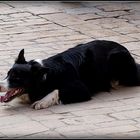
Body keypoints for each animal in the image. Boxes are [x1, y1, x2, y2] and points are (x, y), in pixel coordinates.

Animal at [0, 39, 140, 109]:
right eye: (8, 74)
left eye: (17, 77)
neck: (45, 77)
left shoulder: (82, 89)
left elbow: (57, 90)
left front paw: (43, 101)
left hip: (117, 58)